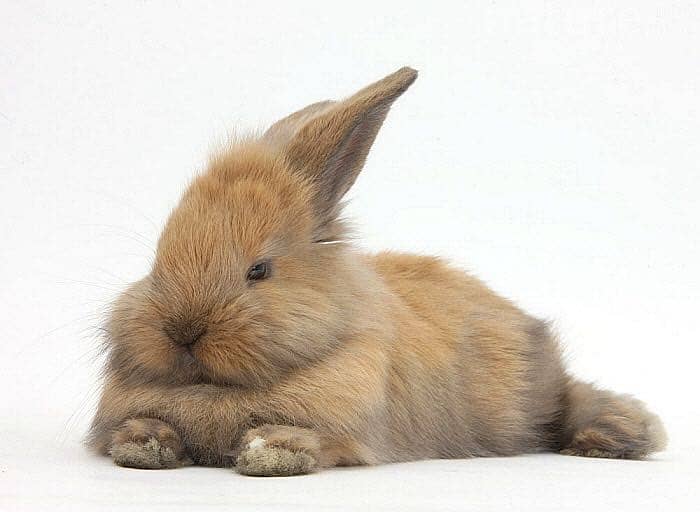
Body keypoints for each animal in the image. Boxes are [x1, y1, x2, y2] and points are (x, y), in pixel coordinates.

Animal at [88, 67, 667, 476]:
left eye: (259, 270)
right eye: (157, 259)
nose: (182, 332)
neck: (213, 390)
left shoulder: (352, 428)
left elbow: (317, 439)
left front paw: (273, 453)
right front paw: (143, 444)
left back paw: (615, 436)